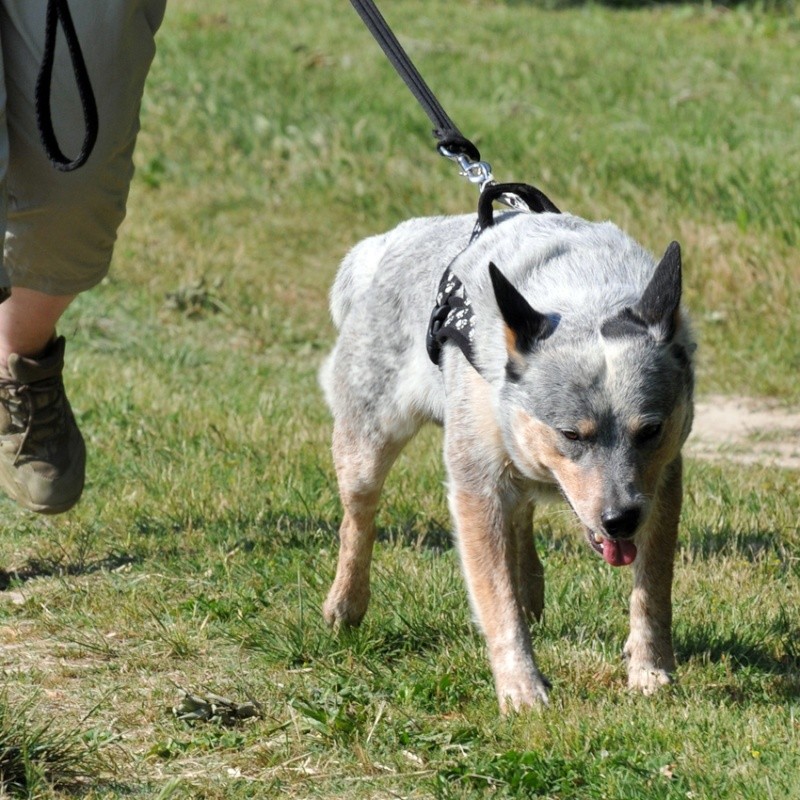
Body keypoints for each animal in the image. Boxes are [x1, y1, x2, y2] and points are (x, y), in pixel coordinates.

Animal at [318, 208, 692, 712]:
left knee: (522, 515)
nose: (619, 520)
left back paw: (530, 586)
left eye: (650, 430)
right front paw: (522, 689)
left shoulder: (662, 482)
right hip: (367, 439)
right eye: (570, 434)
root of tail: (387, 242)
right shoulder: (476, 482)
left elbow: (653, 588)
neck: (582, 296)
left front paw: (649, 670)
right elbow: (496, 598)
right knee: (358, 517)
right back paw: (346, 603)